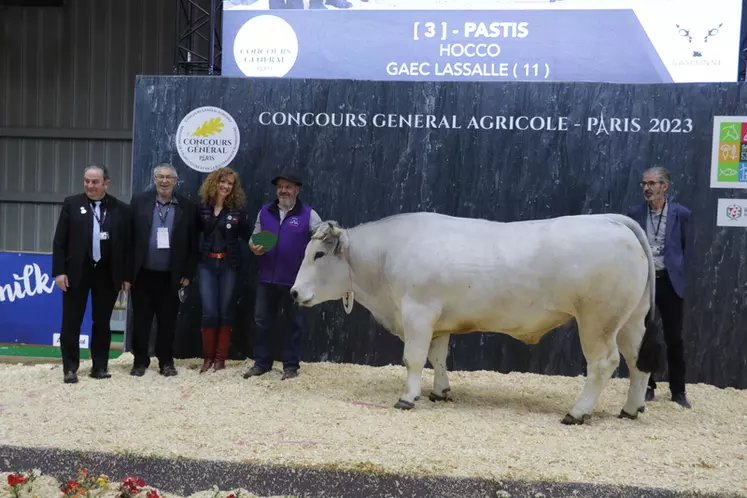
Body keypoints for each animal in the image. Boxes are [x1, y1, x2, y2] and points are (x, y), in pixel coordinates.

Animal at [290, 210, 664, 424]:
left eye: (319, 254)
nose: (293, 293)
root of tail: (612, 219)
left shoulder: (418, 313)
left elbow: (413, 359)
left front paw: (408, 398)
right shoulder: (438, 323)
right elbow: (437, 357)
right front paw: (440, 392)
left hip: (597, 320)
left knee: (603, 363)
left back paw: (577, 412)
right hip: (631, 319)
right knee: (638, 362)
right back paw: (631, 409)